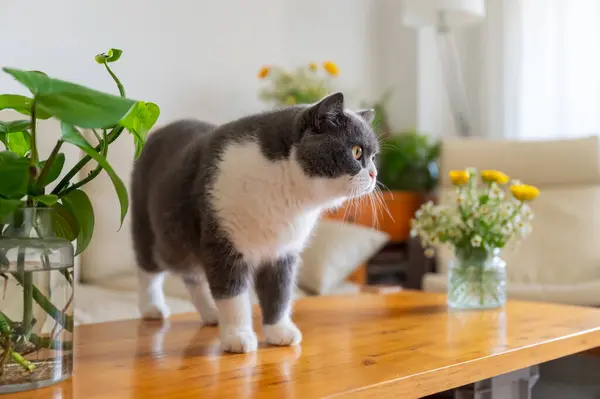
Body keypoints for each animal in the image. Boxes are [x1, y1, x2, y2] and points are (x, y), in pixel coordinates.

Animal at [132, 93, 380, 354]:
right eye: (356, 151)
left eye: (374, 157)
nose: (374, 173)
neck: (287, 194)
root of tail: (156, 132)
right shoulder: (222, 243)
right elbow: (232, 295)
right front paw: (237, 337)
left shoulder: (282, 252)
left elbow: (279, 292)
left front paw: (279, 332)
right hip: (155, 231)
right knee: (149, 269)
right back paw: (152, 308)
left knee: (193, 276)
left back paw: (211, 313)